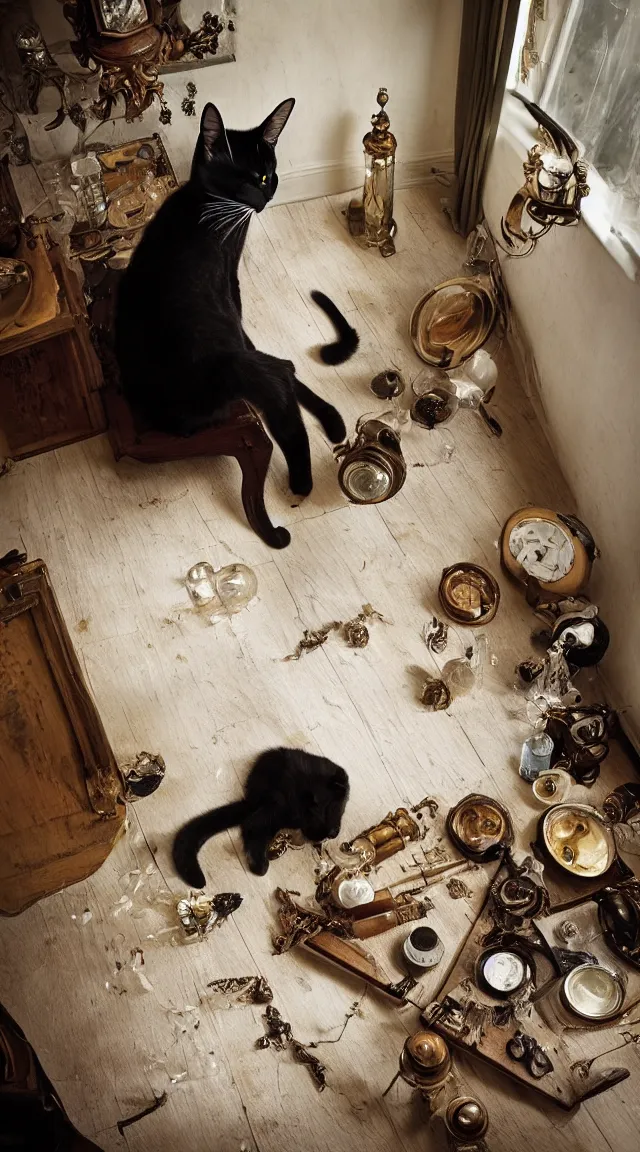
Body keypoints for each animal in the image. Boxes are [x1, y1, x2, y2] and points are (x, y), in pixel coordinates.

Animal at [113, 100, 354, 509]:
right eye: (247, 180)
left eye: (268, 177)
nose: (264, 198)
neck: (205, 205)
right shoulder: (229, 284)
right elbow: (251, 339)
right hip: (229, 361)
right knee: (275, 380)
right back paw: (302, 478)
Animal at [172, 746, 347, 880]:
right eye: (318, 804)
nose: (332, 832)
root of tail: (254, 799)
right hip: (281, 805)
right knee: (253, 824)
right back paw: (259, 865)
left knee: (255, 826)